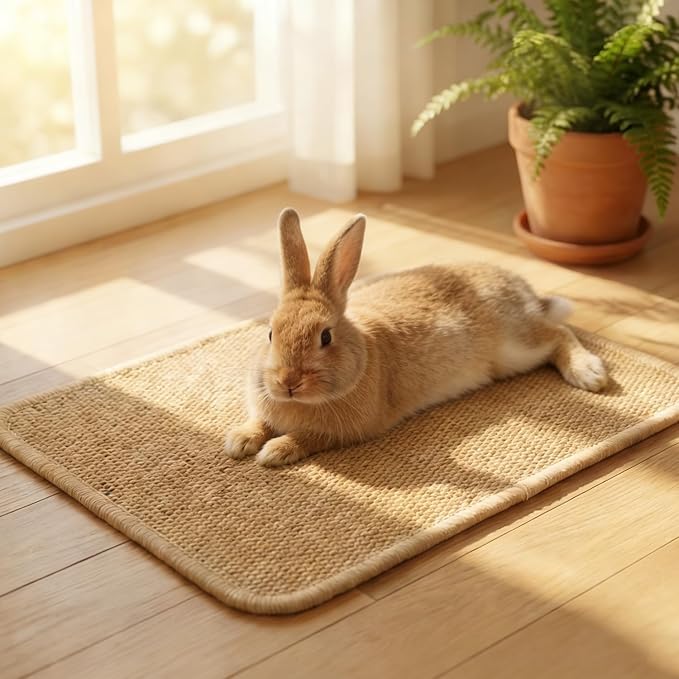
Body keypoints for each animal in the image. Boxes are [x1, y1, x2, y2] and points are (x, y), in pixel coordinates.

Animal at [224, 208, 607, 467]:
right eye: (270, 333)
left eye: (326, 337)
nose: (288, 382)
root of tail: (525, 292)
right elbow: (259, 422)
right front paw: (239, 441)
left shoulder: (342, 432)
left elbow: (306, 437)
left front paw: (274, 451)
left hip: (516, 348)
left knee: (559, 333)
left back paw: (590, 373)